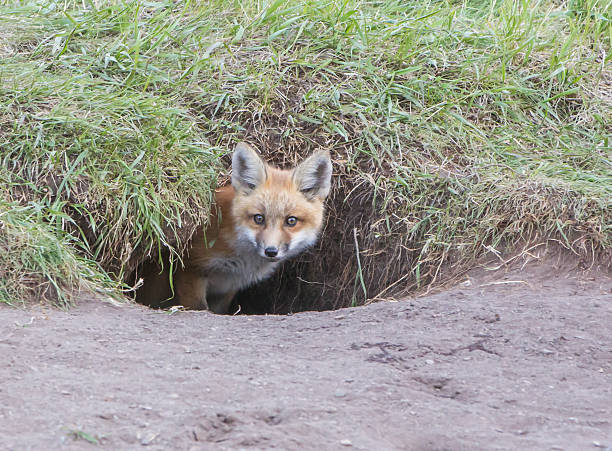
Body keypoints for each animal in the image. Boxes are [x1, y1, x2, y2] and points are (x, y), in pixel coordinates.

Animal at [136, 141, 332, 314]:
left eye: (291, 221)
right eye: (259, 218)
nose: (271, 251)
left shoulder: (227, 289)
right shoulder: (190, 267)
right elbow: (199, 307)